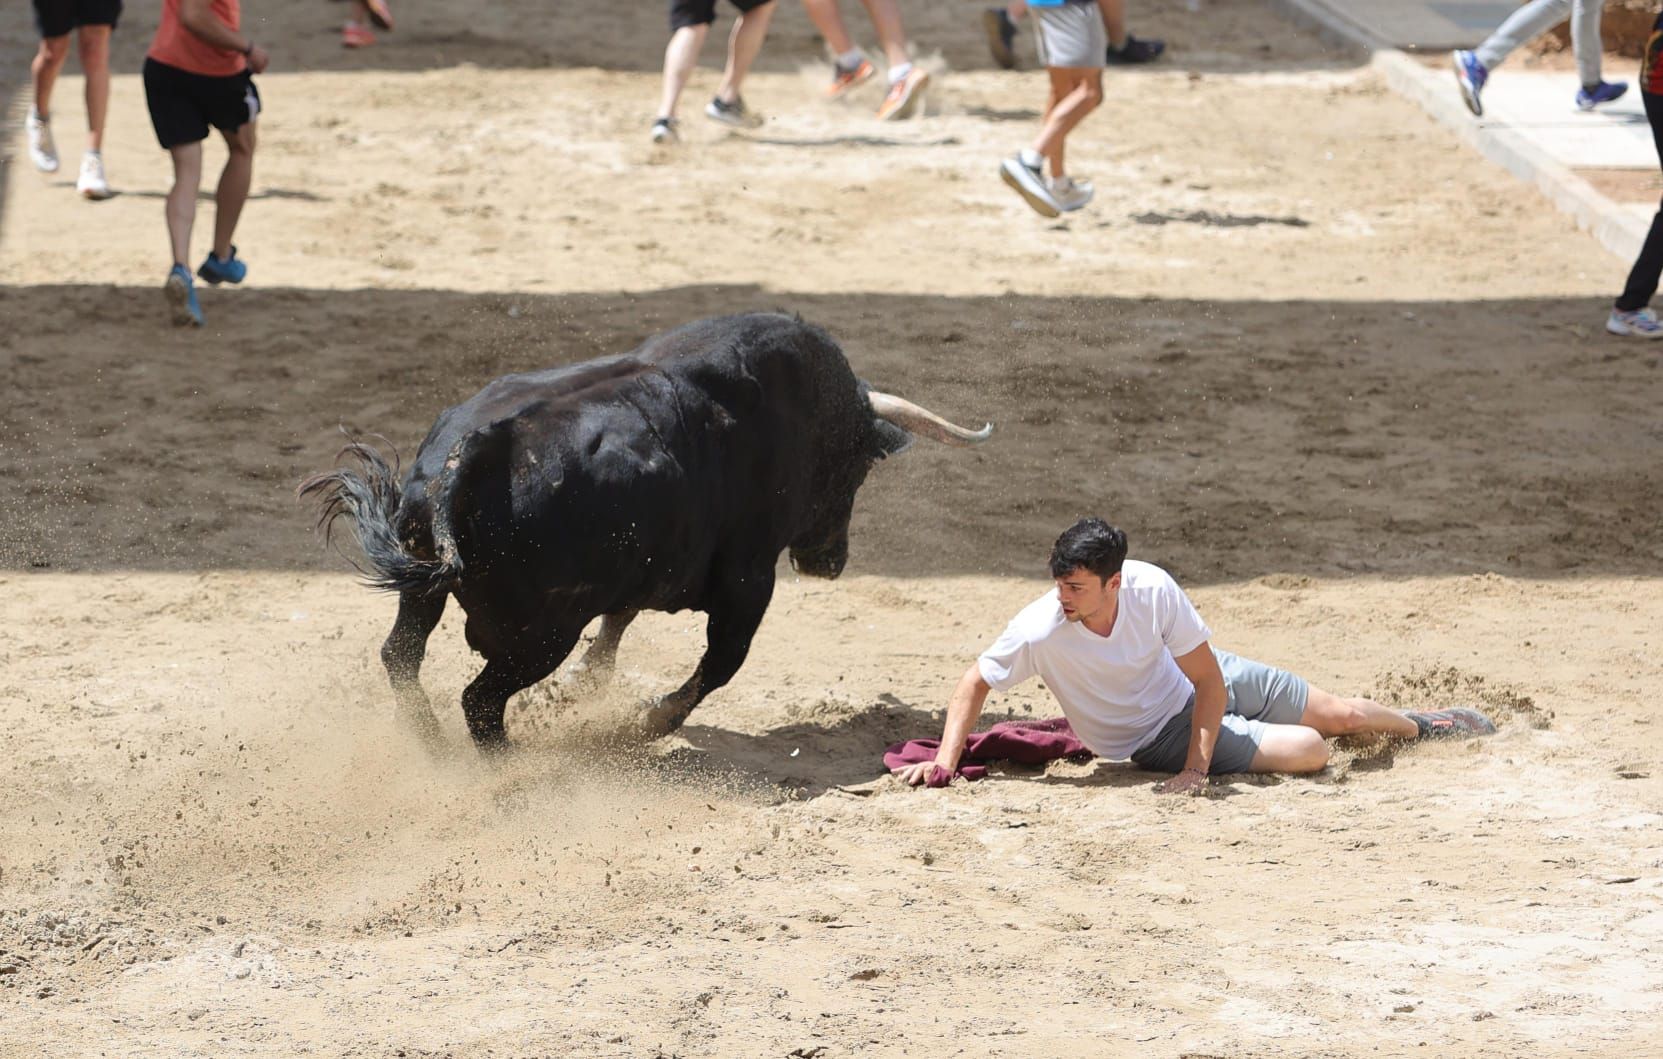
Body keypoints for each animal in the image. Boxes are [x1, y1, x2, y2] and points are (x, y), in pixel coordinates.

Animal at [302, 309, 984, 748]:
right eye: (859, 467)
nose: (829, 561)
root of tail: (467, 456)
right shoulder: (749, 577)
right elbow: (722, 661)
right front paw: (650, 722)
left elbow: (620, 620)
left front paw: (591, 682)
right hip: (539, 636)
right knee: (480, 702)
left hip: (426, 591)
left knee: (401, 657)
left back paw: (430, 744)